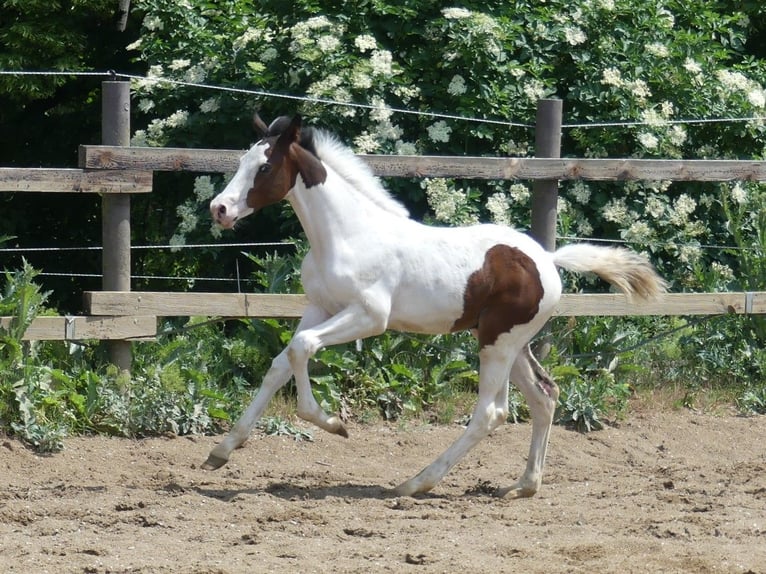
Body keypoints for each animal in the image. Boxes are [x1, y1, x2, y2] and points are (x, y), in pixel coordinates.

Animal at [204, 113, 664, 500]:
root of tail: (548, 260)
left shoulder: (369, 317)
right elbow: (282, 362)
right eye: (242, 160)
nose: (219, 209)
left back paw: (416, 483)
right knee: (544, 396)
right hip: (511, 343)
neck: (346, 235)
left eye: (264, 168)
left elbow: (302, 349)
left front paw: (334, 425)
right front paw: (222, 451)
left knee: (491, 413)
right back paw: (522, 486)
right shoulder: (320, 308)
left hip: (497, 342)